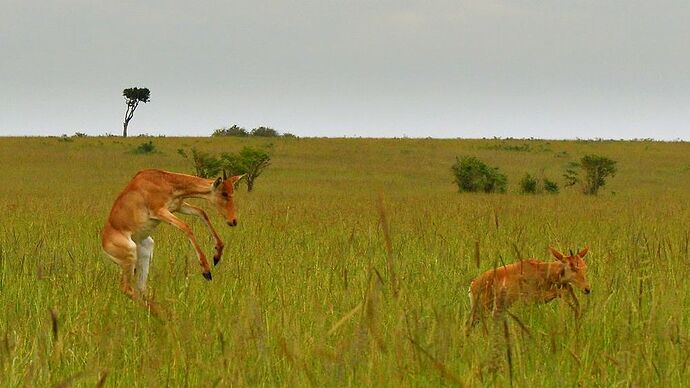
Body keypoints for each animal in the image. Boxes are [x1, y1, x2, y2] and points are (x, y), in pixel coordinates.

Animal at [101, 169, 243, 300]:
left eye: (232, 192)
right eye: (224, 193)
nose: (233, 221)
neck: (162, 180)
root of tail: (104, 244)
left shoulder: (179, 207)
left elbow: (202, 212)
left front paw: (217, 255)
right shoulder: (159, 212)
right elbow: (186, 227)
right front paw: (206, 271)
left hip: (145, 251)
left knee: (140, 288)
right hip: (129, 256)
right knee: (128, 289)